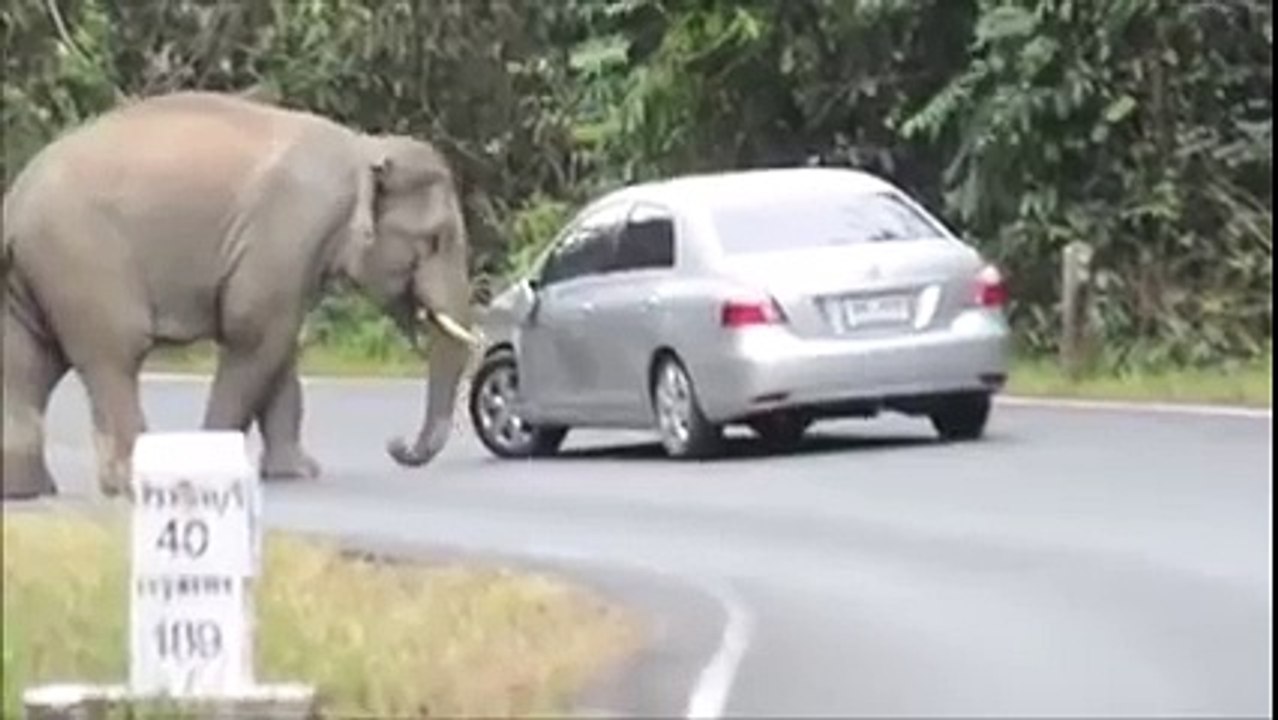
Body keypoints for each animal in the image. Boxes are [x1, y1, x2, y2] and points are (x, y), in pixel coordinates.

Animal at [2, 90, 479, 500]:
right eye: (435, 240)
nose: (396, 444)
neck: (363, 148)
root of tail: (14, 204)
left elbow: (281, 347)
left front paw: (298, 473)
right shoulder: (292, 229)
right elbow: (256, 335)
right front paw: (214, 470)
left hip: (34, 273)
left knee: (28, 361)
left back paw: (27, 491)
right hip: (82, 260)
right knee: (113, 355)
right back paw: (127, 485)